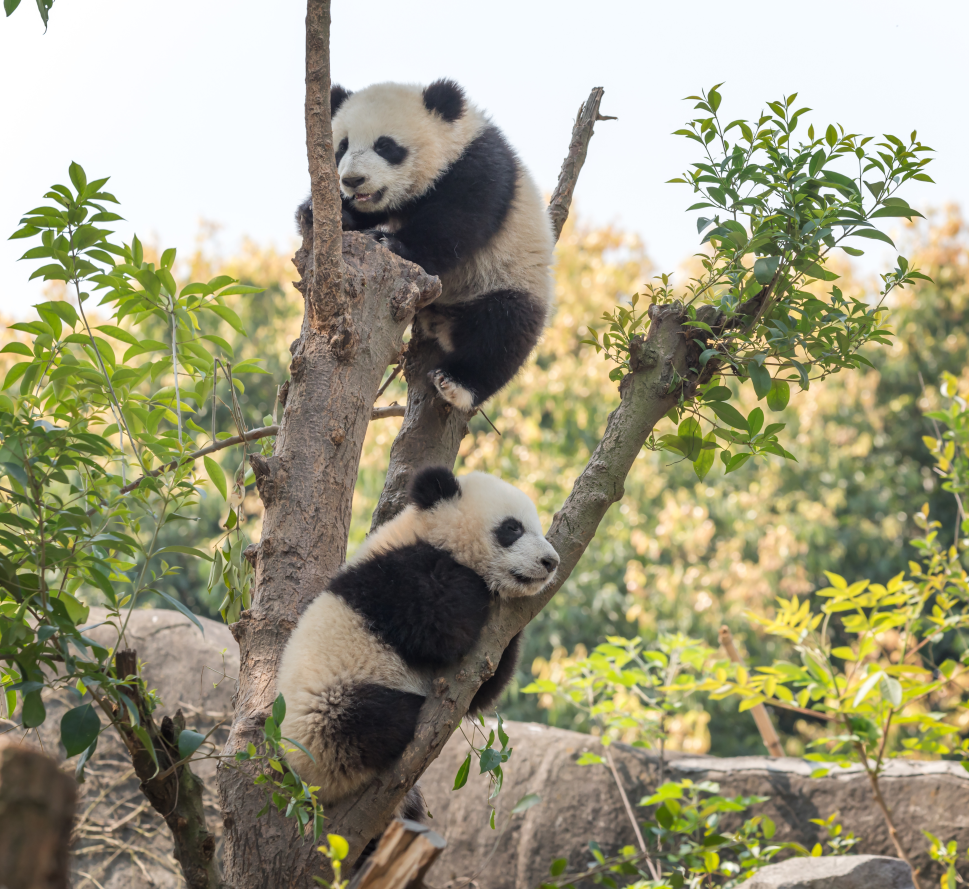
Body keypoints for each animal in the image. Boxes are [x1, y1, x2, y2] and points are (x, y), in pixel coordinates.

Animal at [275, 465, 560, 809]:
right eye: (512, 528)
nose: (551, 562)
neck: (426, 531)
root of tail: (317, 788)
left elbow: (482, 685)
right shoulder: (392, 579)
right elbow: (436, 629)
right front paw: (473, 585)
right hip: (327, 710)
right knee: (369, 719)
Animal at [297, 79, 555, 411]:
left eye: (385, 146)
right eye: (342, 146)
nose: (353, 180)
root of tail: (446, 322)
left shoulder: (479, 165)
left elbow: (456, 221)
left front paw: (389, 241)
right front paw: (318, 212)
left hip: (511, 278)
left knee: (503, 331)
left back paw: (457, 384)